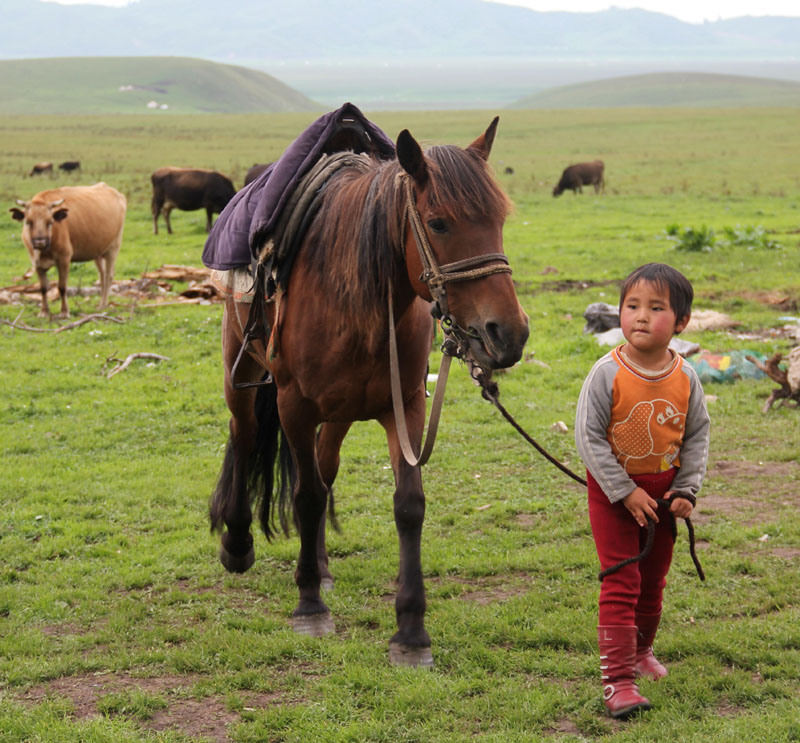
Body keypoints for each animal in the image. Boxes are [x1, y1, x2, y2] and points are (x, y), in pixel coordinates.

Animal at [9, 184, 126, 320]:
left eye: (50, 222)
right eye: (28, 222)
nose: (40, 242)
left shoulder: (64, 259)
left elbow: (62, 287)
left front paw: (64, 312)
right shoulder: (36, 263)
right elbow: (43, 288)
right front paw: (44, 311)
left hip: (113, 247)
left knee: (108, 275)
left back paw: (103, 304)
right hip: (98, 251)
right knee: (102, 275)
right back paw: (101, 302)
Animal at [209, 120, 528, 668]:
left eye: (499, 219)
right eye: (438, 223)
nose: (507, 333)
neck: (357, 300)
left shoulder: (406, 406)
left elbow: (407, 504)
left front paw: (411, 630)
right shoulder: (294, 405)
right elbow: (307, 495)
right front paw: (309, 606)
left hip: (339, 411)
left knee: (324, 464)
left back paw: (319, 564)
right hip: (243, 375)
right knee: (247, 437)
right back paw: (238, 542)